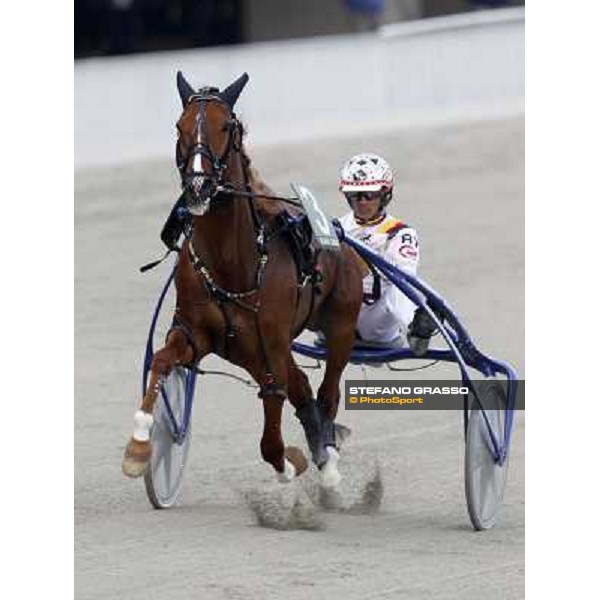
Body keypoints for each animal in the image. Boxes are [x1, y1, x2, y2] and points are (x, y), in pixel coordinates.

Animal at [122, 72, 364, 490]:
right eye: (179, 126)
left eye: (225, 126)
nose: (198, 186)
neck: (232, 263)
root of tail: (341, 239)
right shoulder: (195, 334)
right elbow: (161, 361)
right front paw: (137, 450)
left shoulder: (270, 346)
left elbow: (272, 423)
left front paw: (289, 463)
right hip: (249, 351)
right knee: (303, 388)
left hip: (340, 327)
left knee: (326, 392)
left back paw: (328, 460)